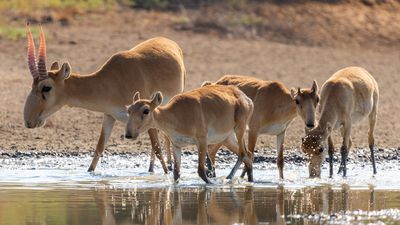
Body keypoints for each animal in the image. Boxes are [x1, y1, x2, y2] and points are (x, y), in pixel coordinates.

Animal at [21, 24, 184, 172]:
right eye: (32, 85)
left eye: (46, 87)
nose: (29, 121)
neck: (112, 80)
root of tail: (170, 42)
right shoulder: (109, 115)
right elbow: (99, 148)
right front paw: (90, 172)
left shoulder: (146, 111)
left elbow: (157, 148)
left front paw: (166, 173)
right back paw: (155, 167)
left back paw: (168, 165)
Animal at [125, 85, 253, 184]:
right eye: (129, 110)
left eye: (146, 110)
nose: (128, 135)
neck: (177, 115)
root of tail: (247, 99)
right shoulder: (176, 145)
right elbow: (176, 174)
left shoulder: (202, 141)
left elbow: (201, 171)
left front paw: (212, 184)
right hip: (227, 138)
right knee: (248, 154)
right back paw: (249, 180)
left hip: (239, 129)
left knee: (243, 153)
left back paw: (228, 178)